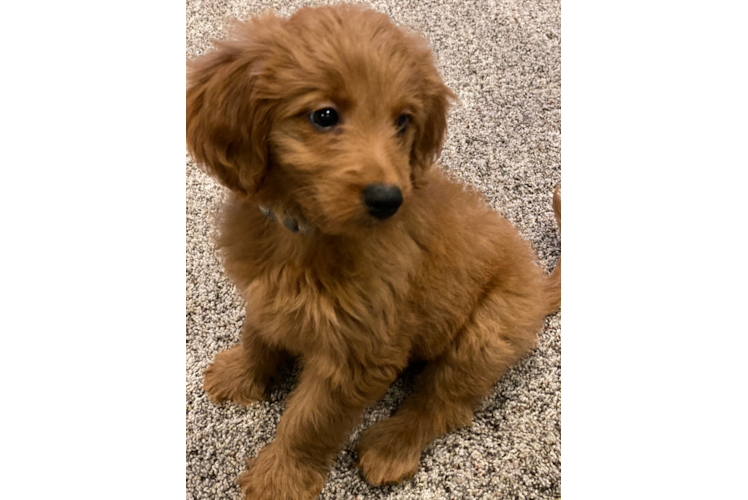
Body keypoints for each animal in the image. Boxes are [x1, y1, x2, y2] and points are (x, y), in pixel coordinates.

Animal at [187, 4, 560, 500]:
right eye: (324, 115)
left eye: (403, 120)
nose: (389, 200)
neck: (304, 232)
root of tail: (539, 287)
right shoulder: (267, 295)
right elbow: (258, 335)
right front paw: (240, 376)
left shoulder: (359, 356)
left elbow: (309, 422)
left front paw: (280, 478)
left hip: (486, 334)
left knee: (441, 402)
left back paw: (392, 445)